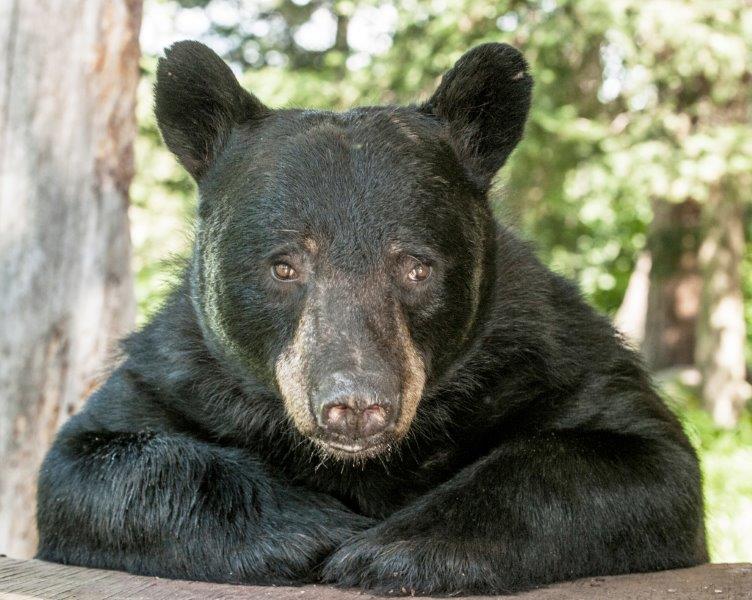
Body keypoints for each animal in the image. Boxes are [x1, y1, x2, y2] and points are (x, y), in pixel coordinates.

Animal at [36, 40, 707, 596]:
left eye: (416, 266)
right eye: (284, 265)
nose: (356, 405)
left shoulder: (546, 352)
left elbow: (643, 463)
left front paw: (395, 550)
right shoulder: (180, 371)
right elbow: (89, 463)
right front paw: (313, 530)